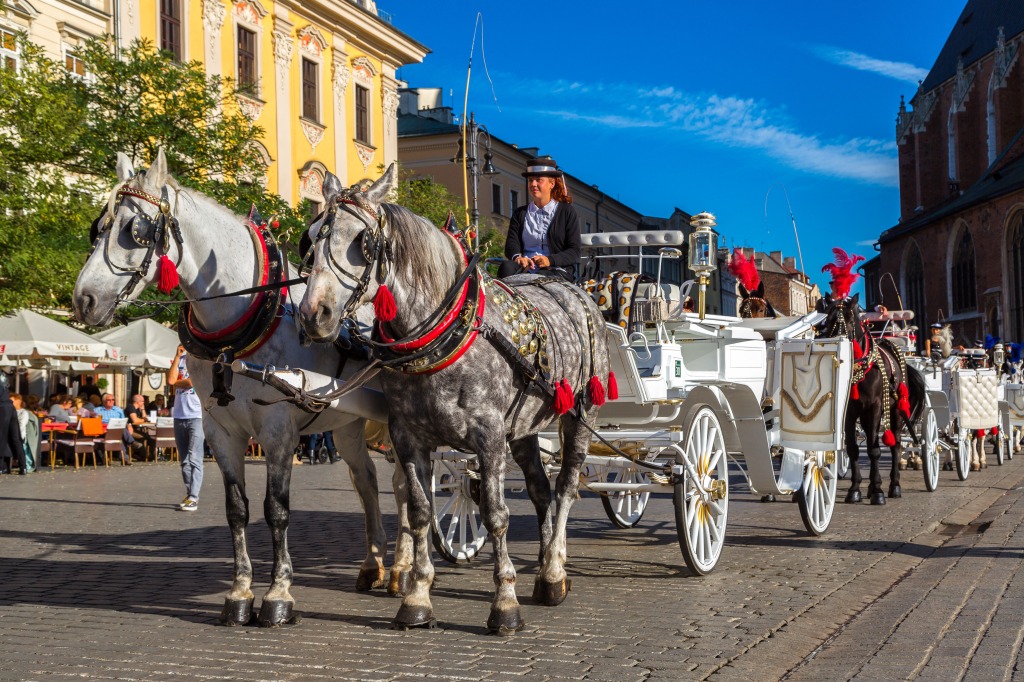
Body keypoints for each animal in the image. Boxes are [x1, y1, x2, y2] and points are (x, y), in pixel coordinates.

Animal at [71, 150, 411, 626]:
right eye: (99, 227)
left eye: (134, 231)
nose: (83, 299)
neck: (241, 325)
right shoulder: (220, 431)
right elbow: (237, 510)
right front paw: (239, 593)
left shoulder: (278, 430)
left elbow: (276, 510)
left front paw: (279, 594)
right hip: (346, 423)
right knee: (367, 481)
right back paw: (372, 564)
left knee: (405, 484)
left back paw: (403, 569)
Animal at [299, 163, 610, 630]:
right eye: (311, 235)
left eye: (362, 243)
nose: (312, 314)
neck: (443, 333)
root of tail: (573, 290)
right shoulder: (408, 438)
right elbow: (420, 511)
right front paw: (416, 597)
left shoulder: (489, 436)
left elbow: (496, 516)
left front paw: (505, 604)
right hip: (523, 428)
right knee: (541, 491)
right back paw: (543, 571)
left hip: (579, 413)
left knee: (567, 487)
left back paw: (555, 568)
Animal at [815, 292, 929, 503]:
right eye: (828, 319)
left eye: (850, 318)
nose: (837, 342)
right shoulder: (849, 412)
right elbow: (853, 448)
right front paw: (855, 489)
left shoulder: (874, 407)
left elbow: (874, 449)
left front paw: (877, 490)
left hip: (895, 411)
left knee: (896, 445)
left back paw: (894, 486)